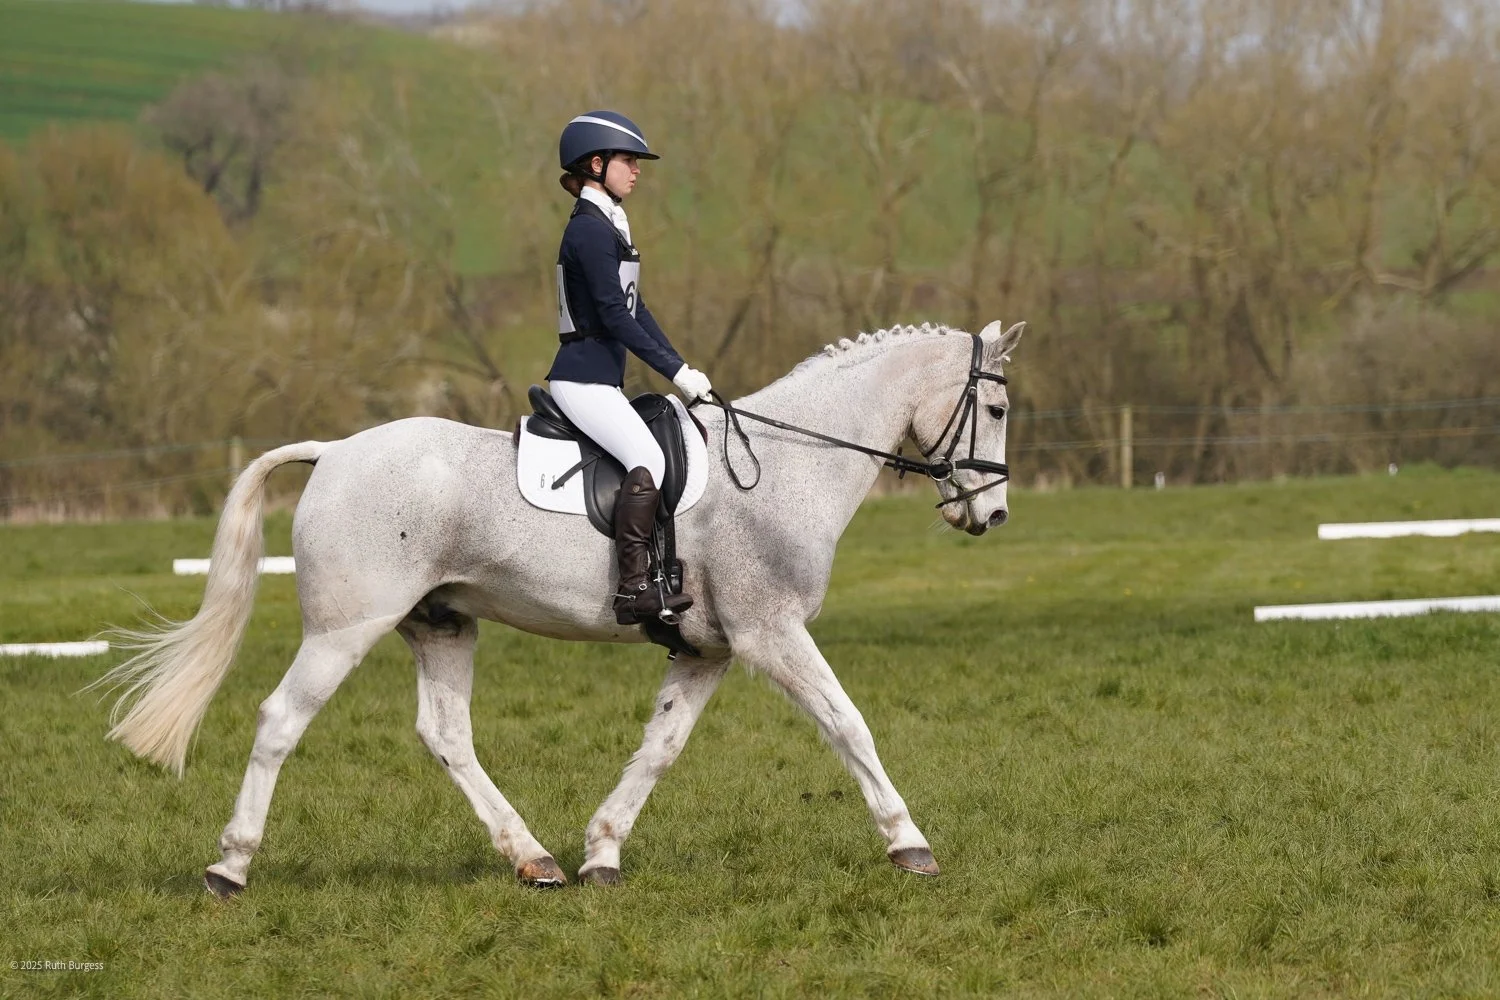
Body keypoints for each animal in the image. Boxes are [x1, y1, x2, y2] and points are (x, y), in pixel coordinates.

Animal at [92, 319, 1023, 895]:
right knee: (281, 720)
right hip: (344, 629)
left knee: (445, 735)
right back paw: (230, 868)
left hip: (443, 624)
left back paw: (533, 859)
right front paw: (909, 843)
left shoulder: (707, 649)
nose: (992, 516)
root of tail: (336, 451)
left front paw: (603, 851)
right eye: (998, 407)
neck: (787, 463)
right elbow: (849, 724)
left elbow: (660, 748)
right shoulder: (772, 633)